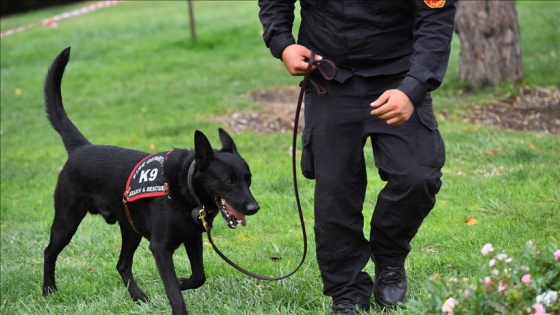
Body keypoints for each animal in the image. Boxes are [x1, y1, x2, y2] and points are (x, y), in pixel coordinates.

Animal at [42, 47, 260, 315]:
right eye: (229, 181)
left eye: (248, 180)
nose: (254, 208)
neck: (183, 187)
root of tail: (81, 148)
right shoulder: (160, 249)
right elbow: (174, 293)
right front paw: (177, 293)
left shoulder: (193, 238)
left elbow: (198, 277)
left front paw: (182, 281)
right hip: (67, 221)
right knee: (49, 252)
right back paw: (48, 290)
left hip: (130, 229)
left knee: (122, 265)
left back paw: (138, 297)